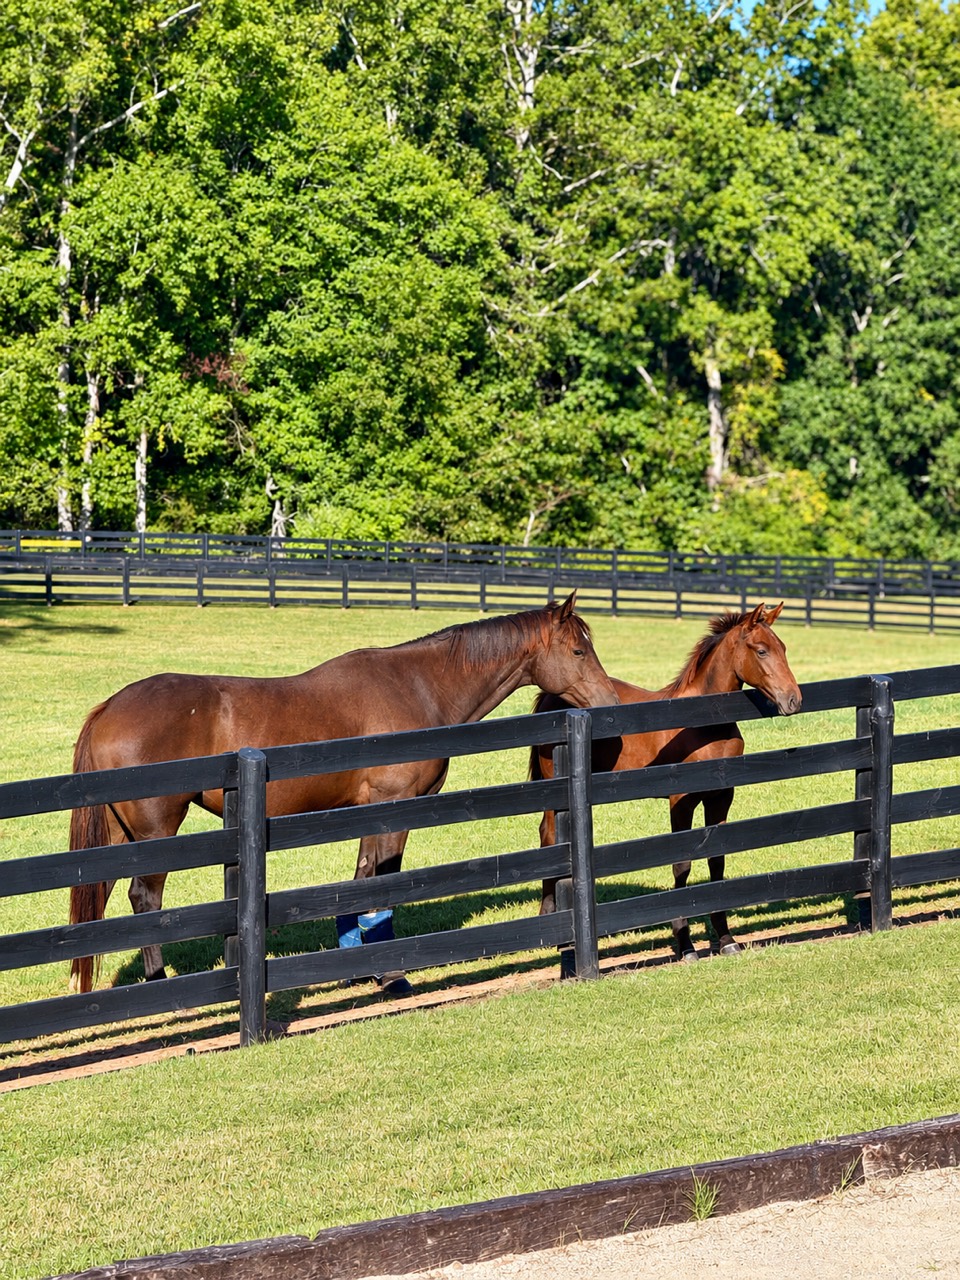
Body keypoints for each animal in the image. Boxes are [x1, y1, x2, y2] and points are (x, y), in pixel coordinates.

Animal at [69, 591, 618, 995]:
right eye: (578, 651)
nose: (612, 702)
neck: (417, 687)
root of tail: (109, 708)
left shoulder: (367, 812)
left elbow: (361, 880)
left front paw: (361, 965)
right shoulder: (394, 808)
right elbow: (382, 884)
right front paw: (392, 975)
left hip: (119, 833)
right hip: (156, 829)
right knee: (145, 898)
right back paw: (159, 982)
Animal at [529, 602, 802, 961]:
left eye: (784, 648)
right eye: (761, 650)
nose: (794, 700)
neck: (703, 724)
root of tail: (550, 697)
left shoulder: (721, 796)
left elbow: (717, 860)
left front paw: (726, 939)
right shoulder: (681, 800)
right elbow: (681, 864)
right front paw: (685, 945)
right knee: (548, 836)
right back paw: (554, 928)